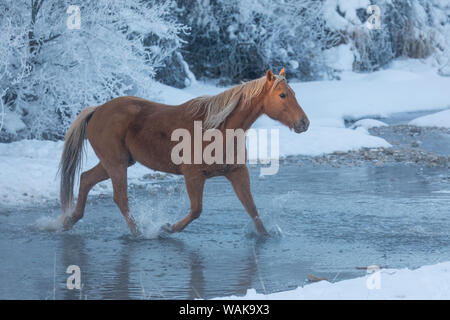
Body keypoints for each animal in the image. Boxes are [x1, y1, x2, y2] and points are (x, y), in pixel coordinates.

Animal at [58, 69, 308, 236]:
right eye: (282, 95)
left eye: (294, 93)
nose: (304, 123)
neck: (218, 129)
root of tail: (97, 110)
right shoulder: (193, 176)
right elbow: (196, 210)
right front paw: (168, 227)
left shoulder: (237, 172)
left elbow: (252, 209)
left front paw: (265, 236)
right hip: (116, 164)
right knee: (120, 197)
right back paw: (138, 233)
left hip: (116, 163)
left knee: (86, 179)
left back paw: (69, 221)